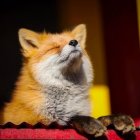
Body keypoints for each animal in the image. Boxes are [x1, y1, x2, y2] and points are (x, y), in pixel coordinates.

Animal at [0, 24, 135, 137]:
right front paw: (87, 122)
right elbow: (70, 119)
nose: (74, 42)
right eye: (54, 47)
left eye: (75, 41)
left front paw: (117, 118)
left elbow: (101, 117)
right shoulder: (36, 121)